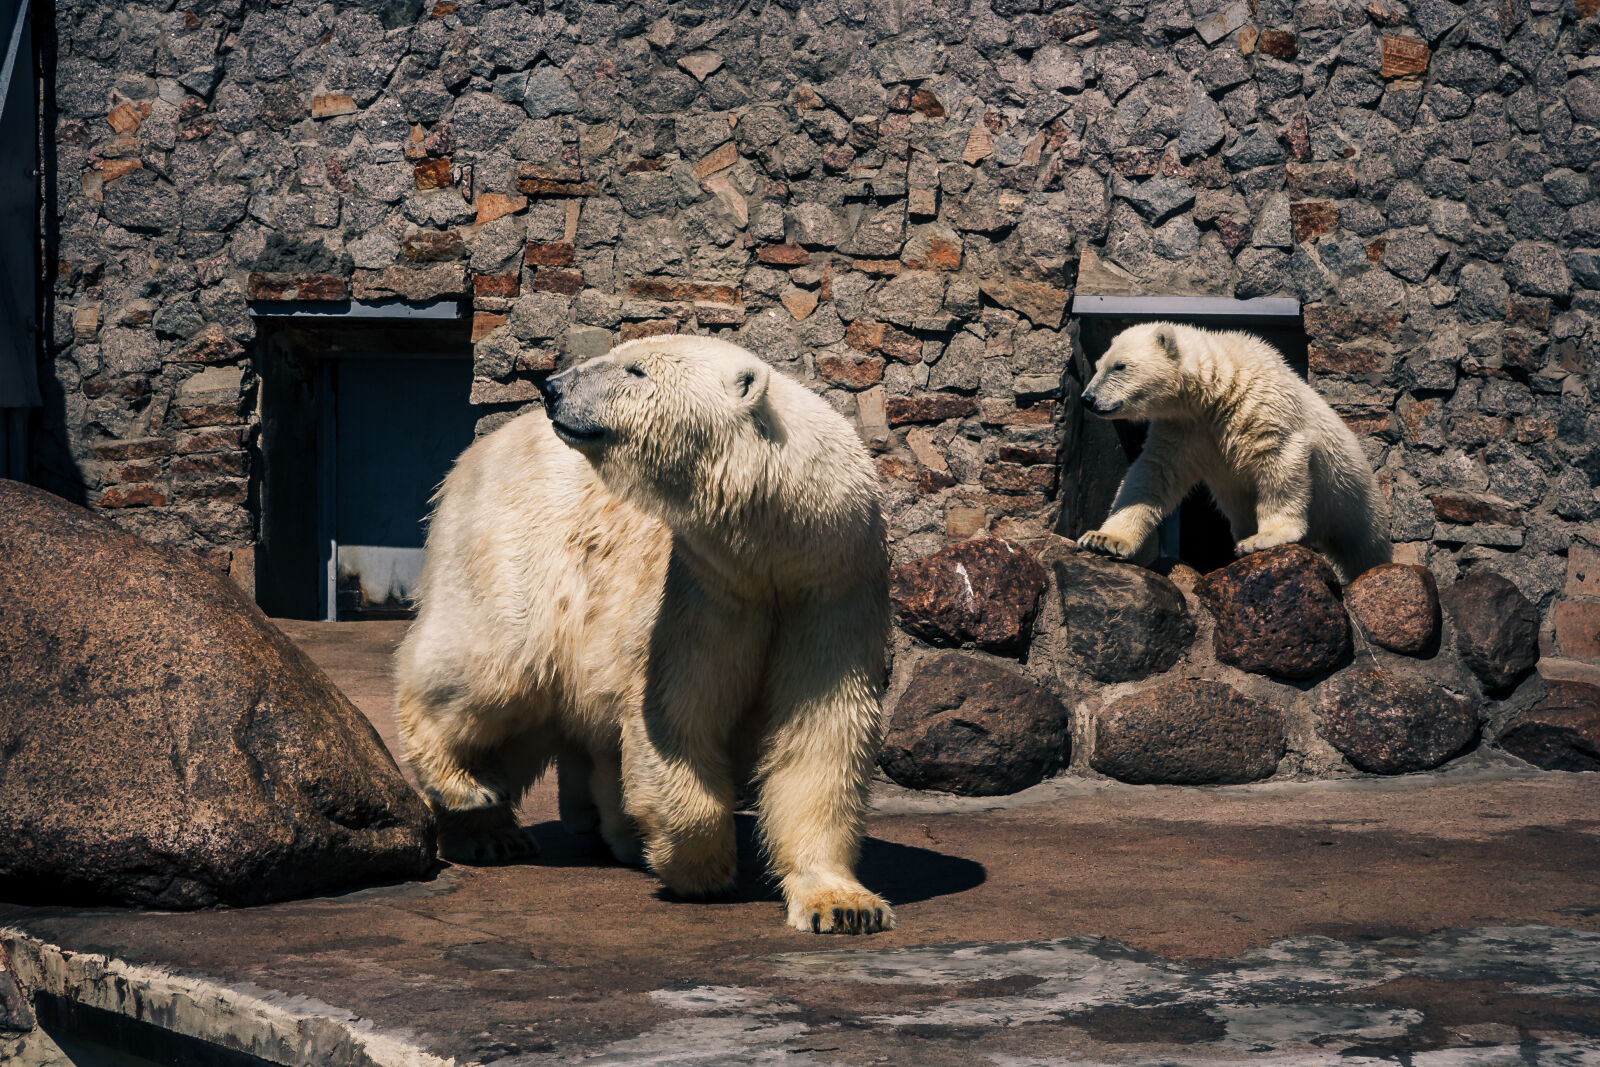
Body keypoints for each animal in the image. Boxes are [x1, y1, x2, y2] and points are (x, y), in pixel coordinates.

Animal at [393, 334, 896, 934]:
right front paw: (700, 870)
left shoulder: (832, 592)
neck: (773, 553)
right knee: (492, 670)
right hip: (514, 552)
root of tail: (481, 449)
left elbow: (821, 731)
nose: (552, 387)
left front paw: (844, 905)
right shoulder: (703, 591)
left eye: (635, 370)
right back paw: (478, 810)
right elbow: (678, 716)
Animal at [1081, 321, 1395, 585]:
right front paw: (1103, 538)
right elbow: (1154, 474)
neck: (1216, 390)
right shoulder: (1182, 428)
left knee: (1365, 547)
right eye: (1098, 365)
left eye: (1120, 366)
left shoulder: (1263, 407)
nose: (1087, 399)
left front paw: (1264, 537)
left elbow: (1280, 462)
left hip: (1352, 497)